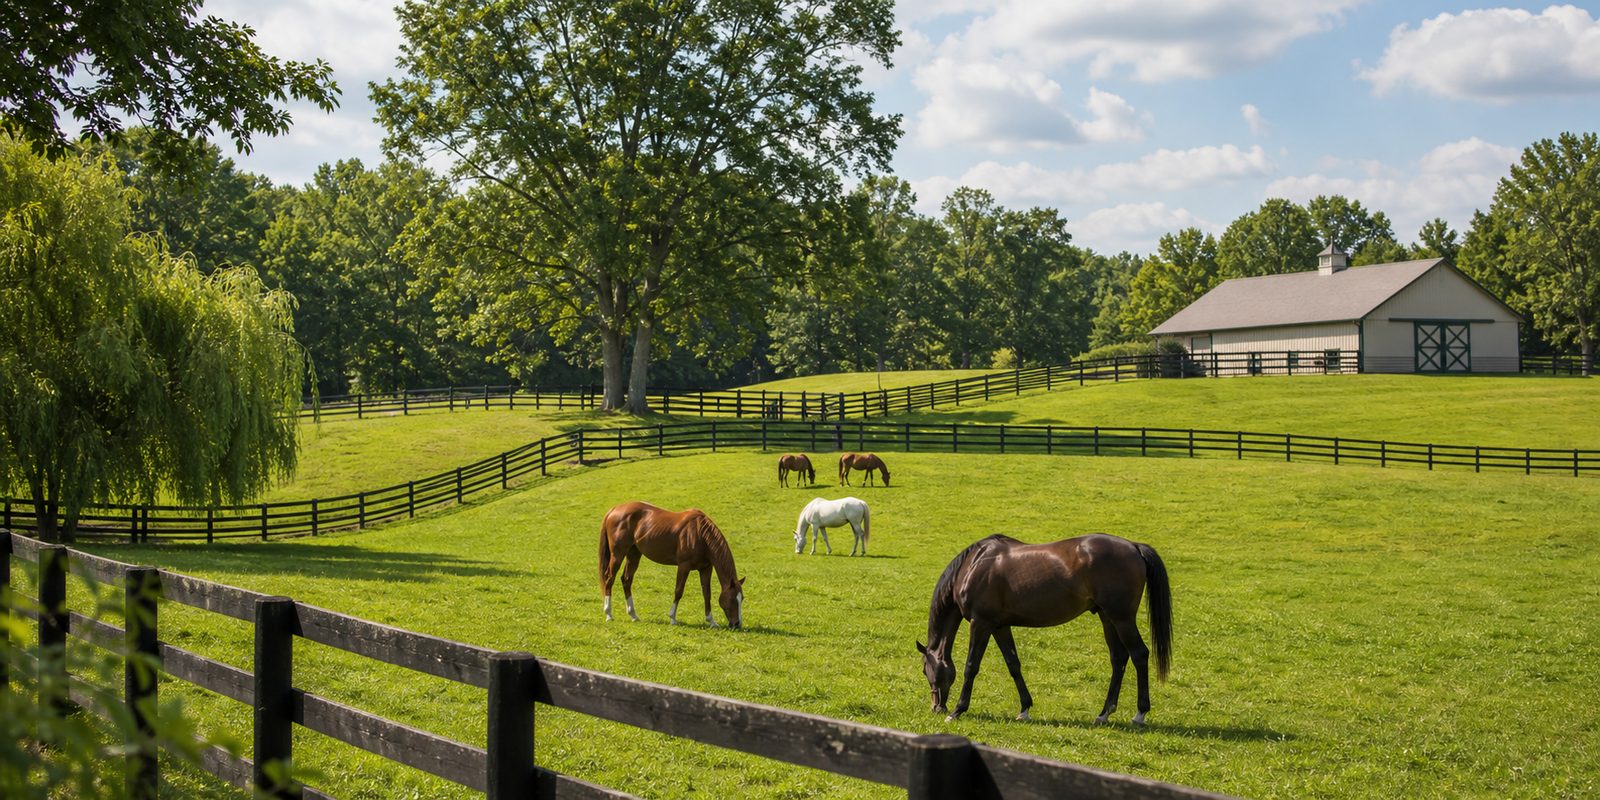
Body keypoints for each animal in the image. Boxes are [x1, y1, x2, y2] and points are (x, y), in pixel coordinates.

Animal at [599, 502, 745, 628]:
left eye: (742, 598)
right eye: (732, 599)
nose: (737, 624)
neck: (700, 534)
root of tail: (614, 509)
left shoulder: (706, 568)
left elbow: (707, 593)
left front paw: (711, 621)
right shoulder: (684, 566)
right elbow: (678, 591)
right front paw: (672, 618)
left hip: (634, 554)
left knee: (626, 580)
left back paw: (633, 615)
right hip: (618, 555)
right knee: (609, 579)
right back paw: (609, 614)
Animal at [916, 533, 1171, 725]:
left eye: (925, 671)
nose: (936, 707)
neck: (973, 565)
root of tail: (1134, 547)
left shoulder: (981, 623)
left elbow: (971, 666)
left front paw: (957, 710)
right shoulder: (1000, 626)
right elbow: (1013, 664)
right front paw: (1025, 708)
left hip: (1121, 618)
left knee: (1139, 654)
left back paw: (1140, 714)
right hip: (1107, 617)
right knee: (1118, 658)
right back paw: (1104, 713)